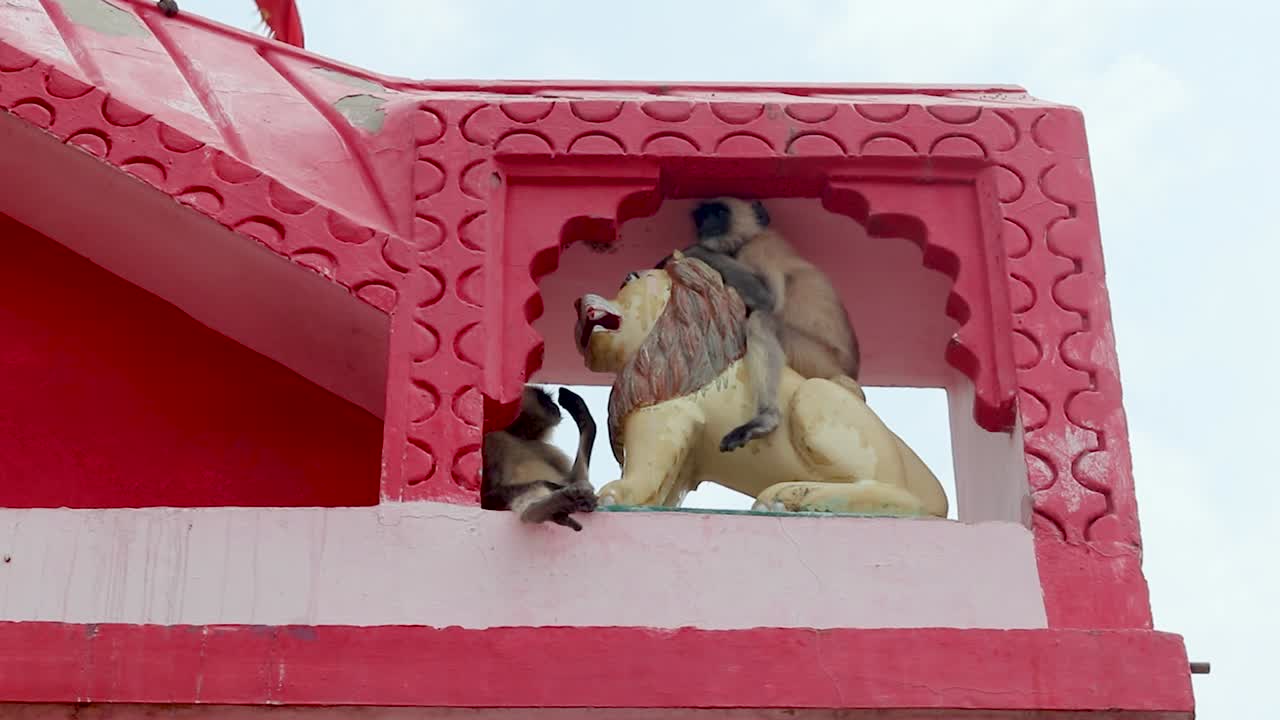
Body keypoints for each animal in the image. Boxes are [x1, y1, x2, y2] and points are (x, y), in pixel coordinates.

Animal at [480, 385, 598, 531]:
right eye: (544, 398)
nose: (553, 405)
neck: (518, 435)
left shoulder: (543, 447)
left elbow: (576, 479)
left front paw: (582, 414)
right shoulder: (491, 441)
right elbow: (487, 495)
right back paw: (546, 508)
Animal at [658, 197, 862, 453]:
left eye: (719, 212)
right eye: (702, 216)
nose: (706, 224)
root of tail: (848, 374)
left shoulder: (760, 248)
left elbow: (767, 299)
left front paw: (691, 251)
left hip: (817, 361)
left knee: (761, 321)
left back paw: (766, 418)